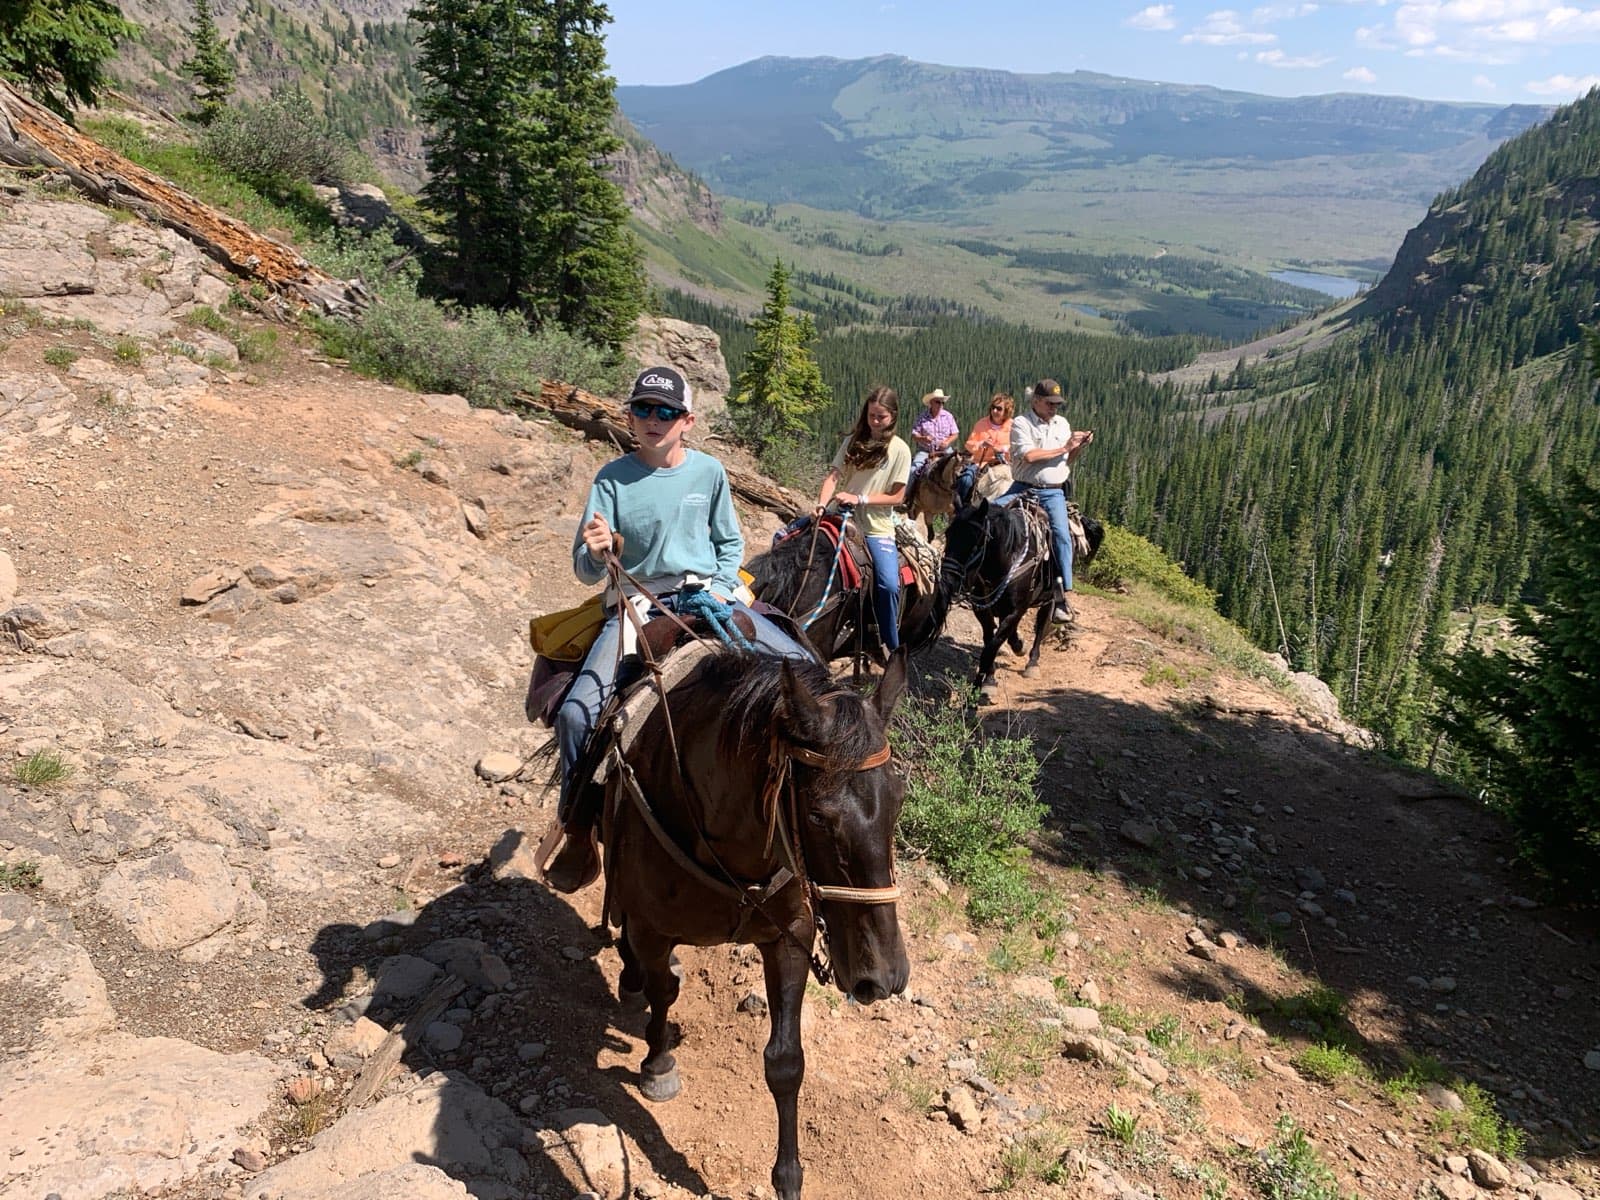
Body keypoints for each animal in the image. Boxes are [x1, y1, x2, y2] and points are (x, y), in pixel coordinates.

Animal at [934, 499, 1100, 704]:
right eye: (949, 534)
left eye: (976, 540)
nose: (948, 579)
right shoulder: (983, 610)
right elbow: (990, 640)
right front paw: (989, 680)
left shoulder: (1016, 608)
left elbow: (991, 647)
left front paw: (977, 689)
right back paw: (1018, 645)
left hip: (1049, 598)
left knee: (1042, 623)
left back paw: (1032, 663)